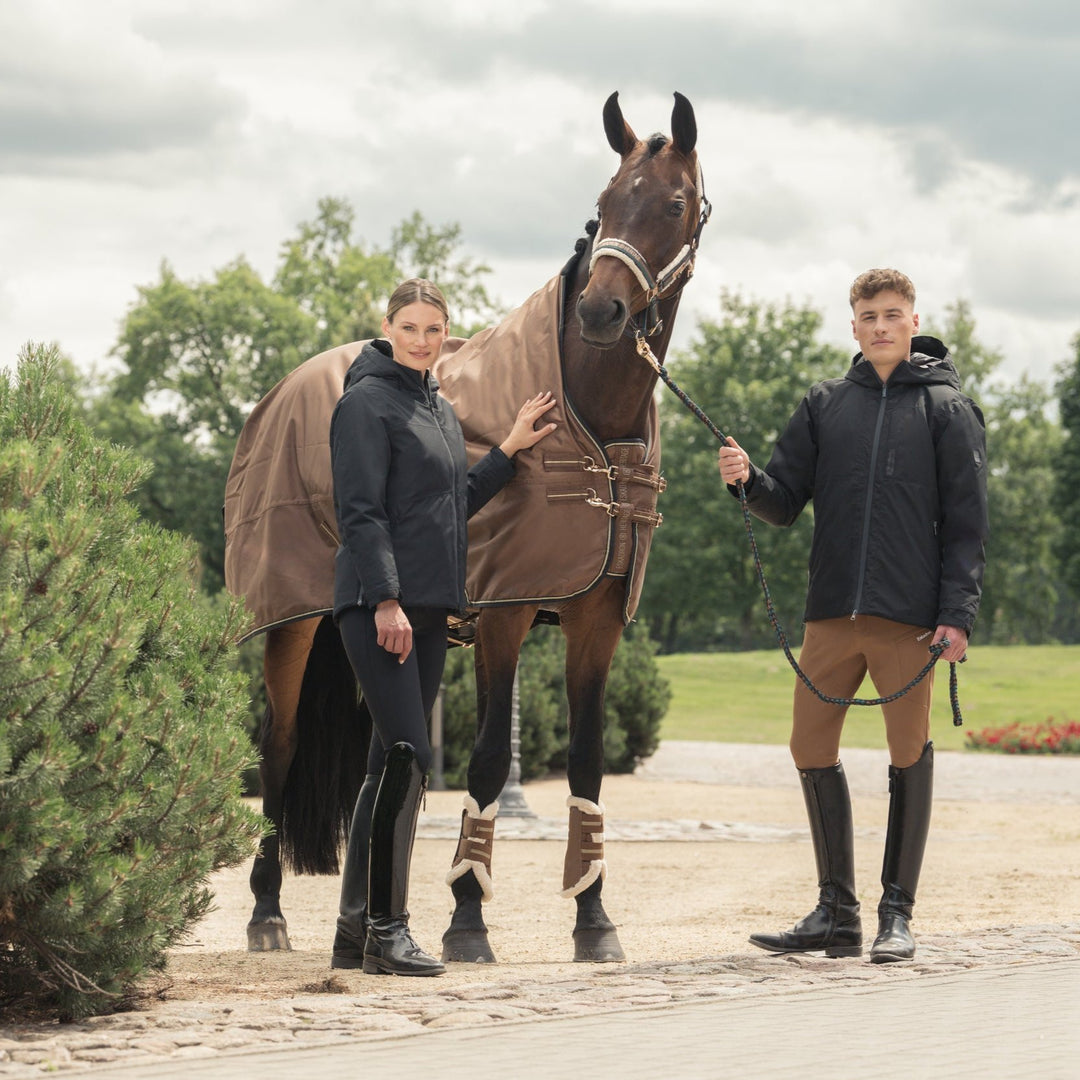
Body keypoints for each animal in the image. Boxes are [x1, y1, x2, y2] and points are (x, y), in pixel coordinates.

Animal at [223, 90, 708, 959]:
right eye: (605, 201)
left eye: (675, 204)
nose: (602, 310)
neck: (588, 419)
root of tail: (281, 392)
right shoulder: (504, 615)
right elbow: (484, 761)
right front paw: (467, 919)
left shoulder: (596, 620)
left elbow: (587, 763)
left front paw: (594, 920)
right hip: (295, 625)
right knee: (277, 752)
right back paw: (268, 914)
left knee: (381, 762)